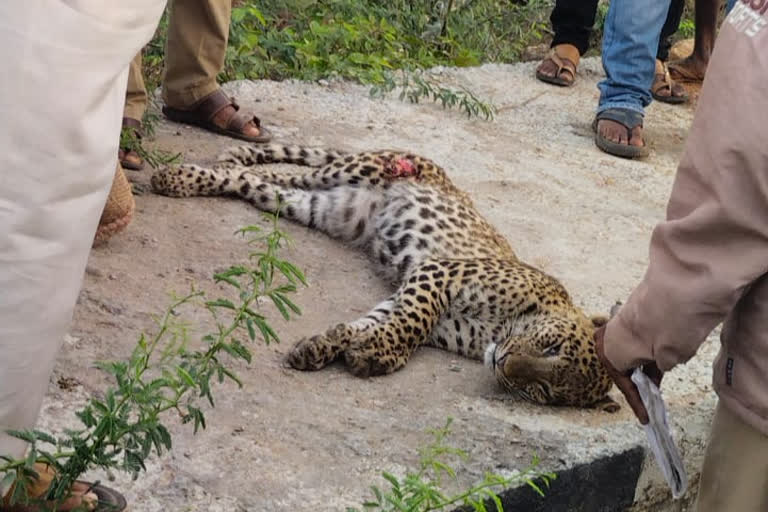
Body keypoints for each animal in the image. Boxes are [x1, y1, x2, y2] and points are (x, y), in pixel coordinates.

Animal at [150, 143, 616, 412]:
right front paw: (374, 353)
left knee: (262, 185)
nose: (503, 363)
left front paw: (335, 346)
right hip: (353, 169)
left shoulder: (416, 297)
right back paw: (178, 174)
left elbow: (379, 322)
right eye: (551, 346)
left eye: (543, 392)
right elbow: (412, 322)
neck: (499, 330)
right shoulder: (437, 273)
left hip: (322, 207)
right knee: (271, 168)